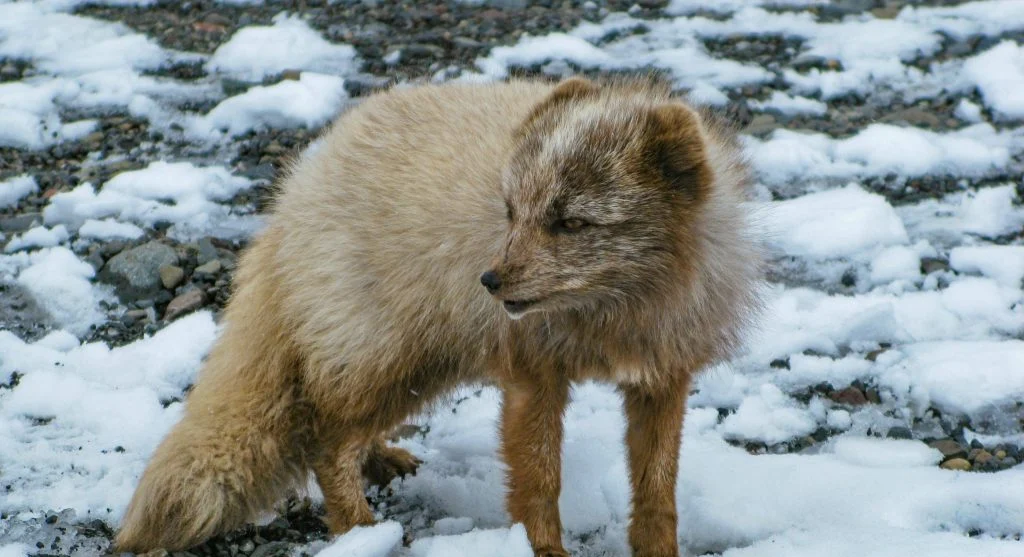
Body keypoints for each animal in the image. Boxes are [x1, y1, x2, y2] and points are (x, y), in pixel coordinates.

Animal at [115, 76, 762, 557]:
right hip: (396, 358)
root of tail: (298, 187)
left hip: (421, 366)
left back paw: (382, 464)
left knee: (335, 424)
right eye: (511, 212)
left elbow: (657, 495)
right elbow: (538, 486)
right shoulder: (533, 378)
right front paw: (542, 550)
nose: (490, 281)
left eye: (572, 222)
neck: (613, 317)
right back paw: (360, 532)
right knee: (325, 439)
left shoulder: (662, 378)